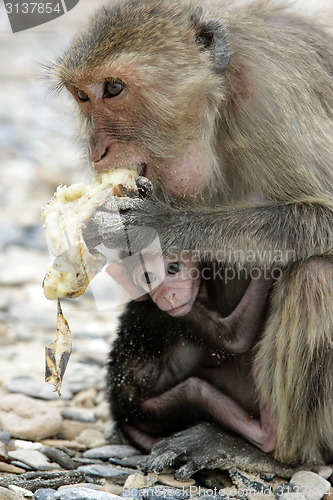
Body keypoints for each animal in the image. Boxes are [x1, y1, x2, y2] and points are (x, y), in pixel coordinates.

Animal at [107, 258, 274, 454]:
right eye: (148, 278)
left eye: (173, 267)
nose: (168, 296)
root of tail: (119, 413)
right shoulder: (179, 317)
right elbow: (235, 338)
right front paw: (265, 270)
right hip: (146, 414)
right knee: (194, 391)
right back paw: (266, 432)